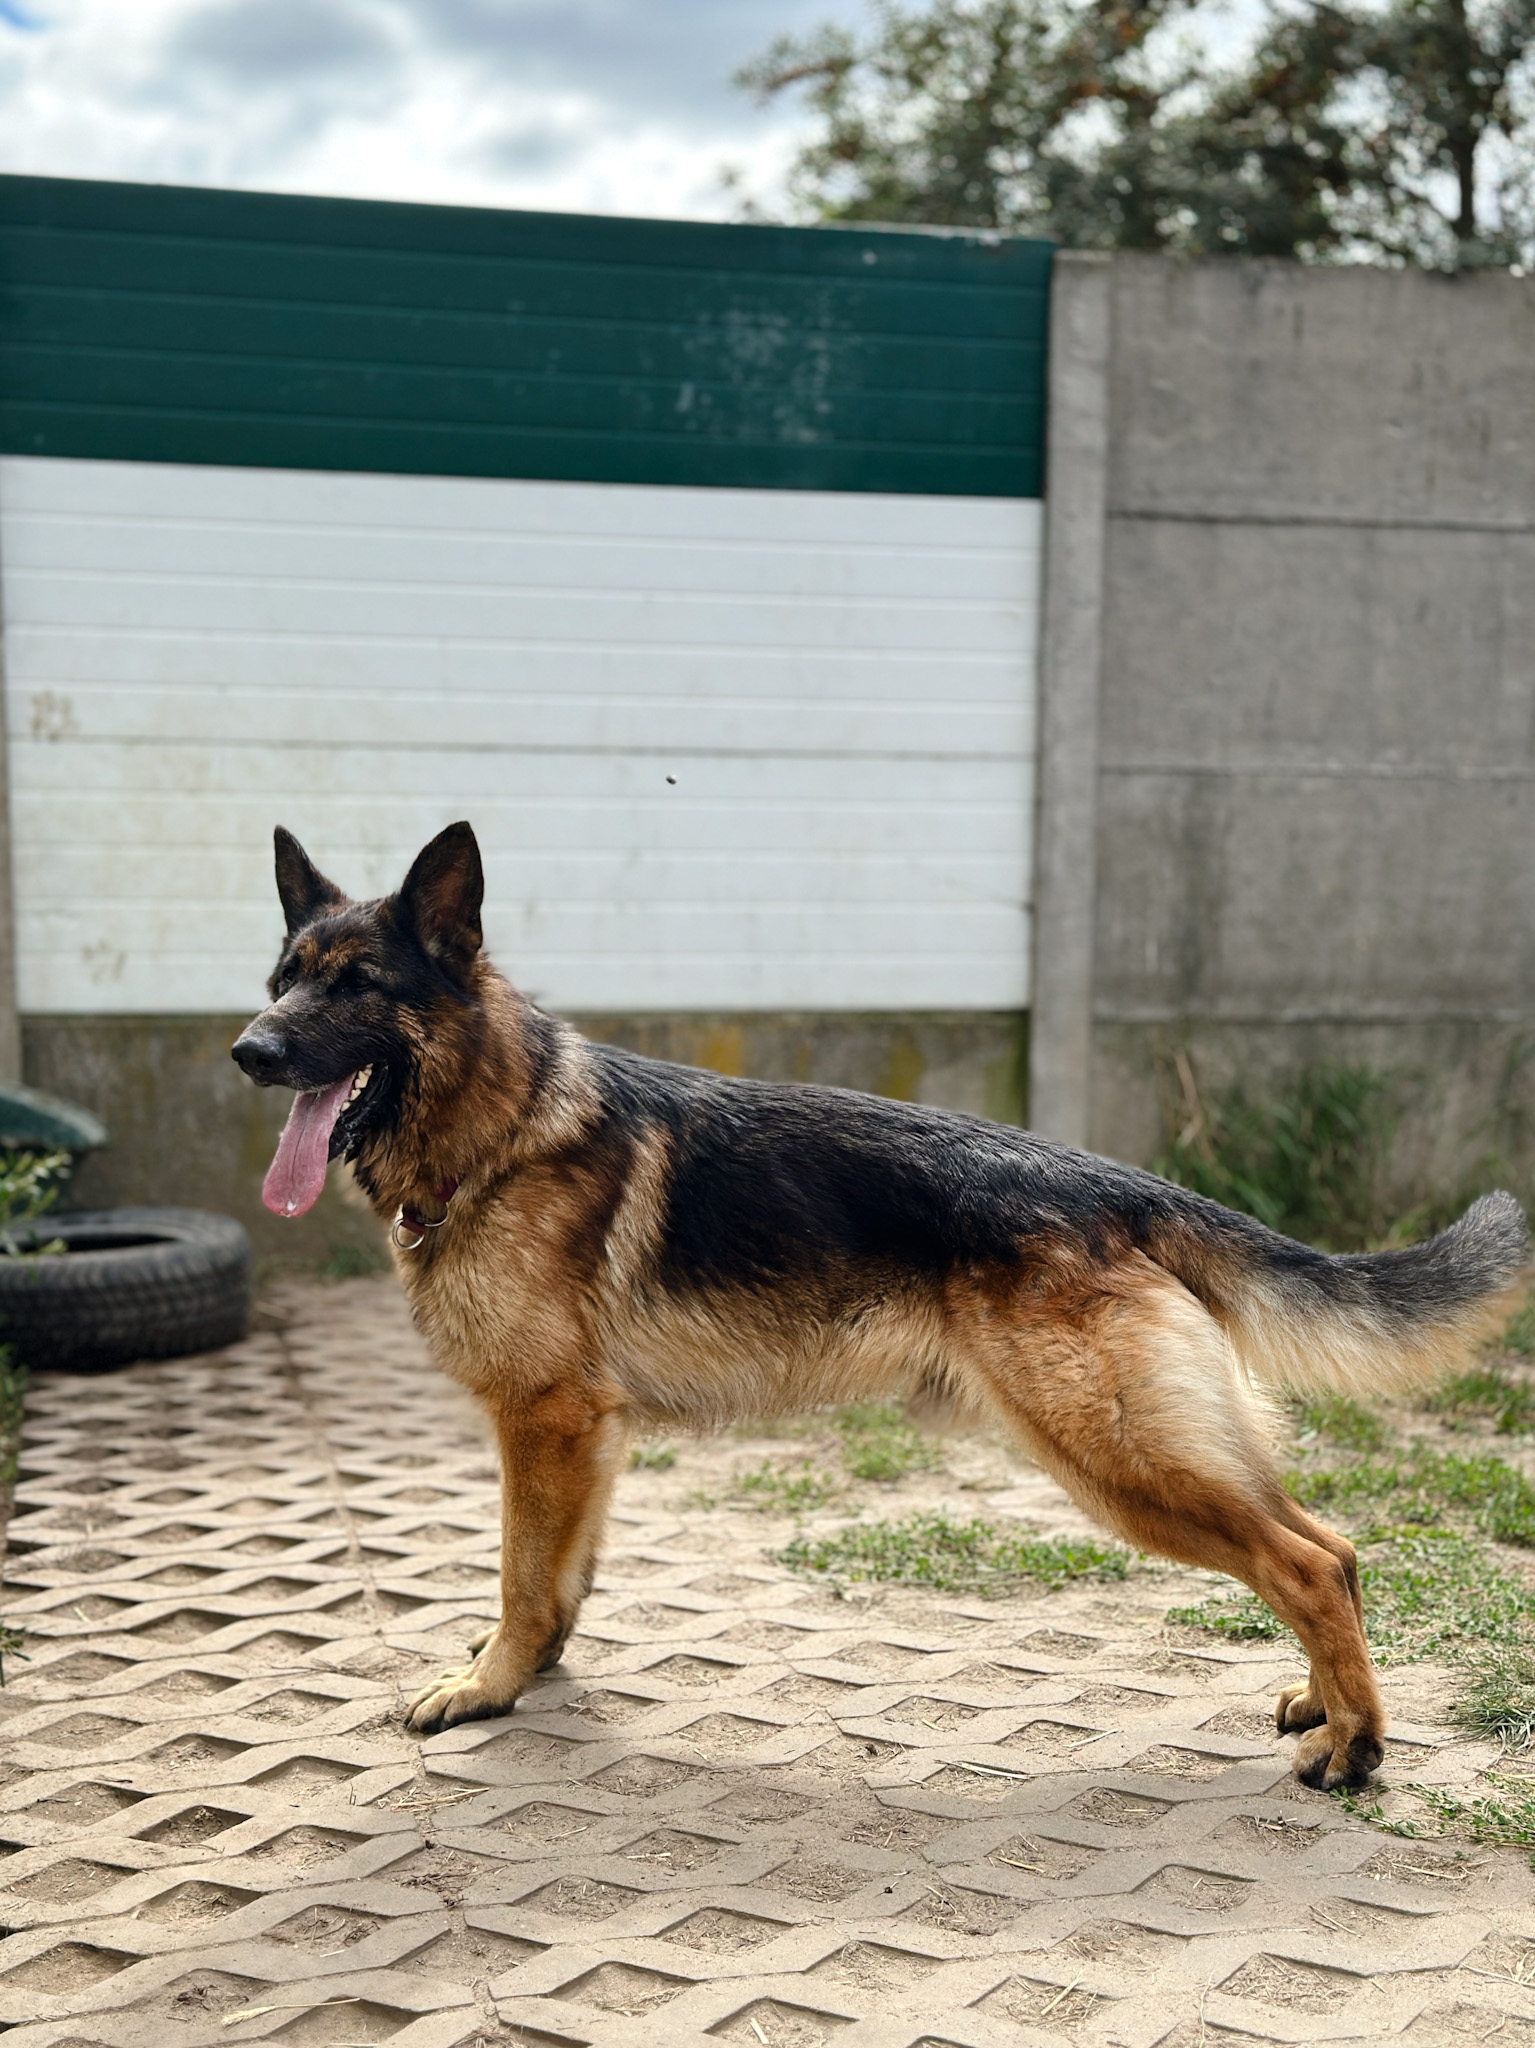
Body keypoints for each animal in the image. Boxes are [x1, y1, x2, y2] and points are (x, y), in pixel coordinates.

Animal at [232, 821, 1529, 1789]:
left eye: (357, 987)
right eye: (282, 980)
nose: (247, 1051)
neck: (502, 1128)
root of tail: (1120, 1184)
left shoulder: (540, 1418)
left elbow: (516, 1570)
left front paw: (488, 1686)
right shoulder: (585, 1432)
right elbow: (559, 1578)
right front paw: (533, 1667)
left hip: (1118, 1459)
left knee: (1303, 1563)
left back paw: (1356, 1747)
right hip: (1166, 1448)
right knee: (1332, 1546)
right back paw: (1326, 1707)